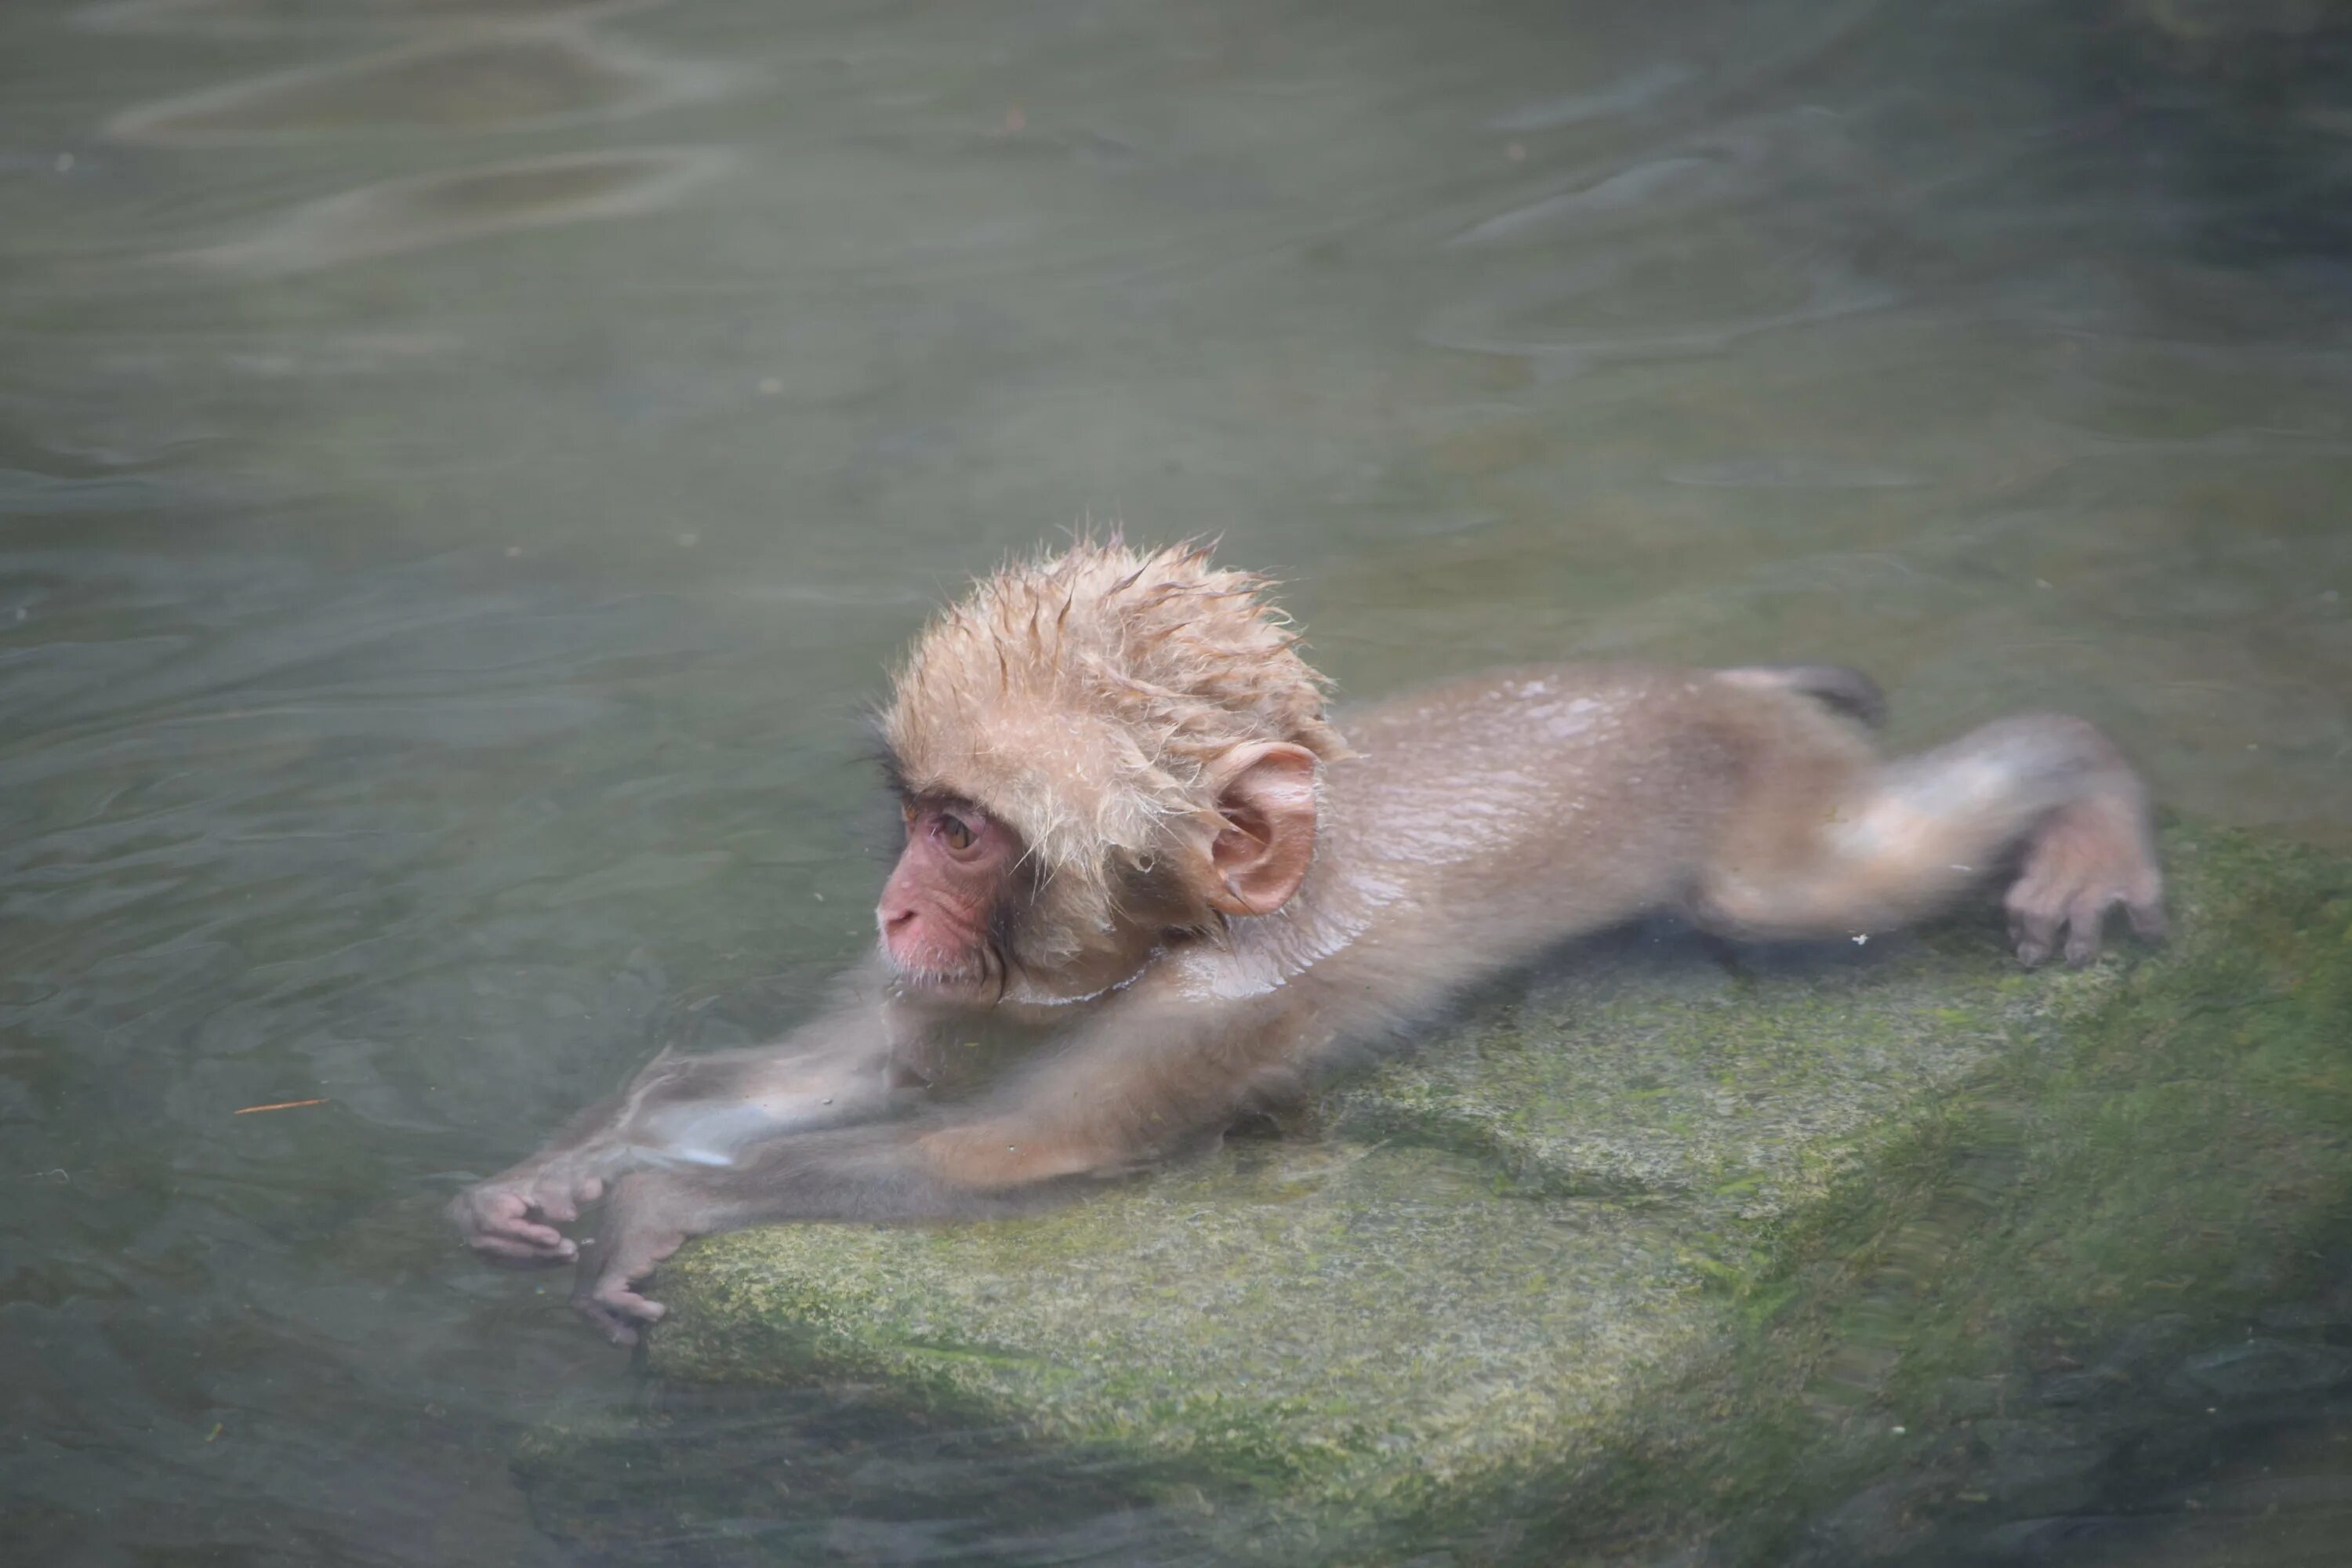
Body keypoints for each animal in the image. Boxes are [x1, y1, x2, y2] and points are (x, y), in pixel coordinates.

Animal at [445, 535, 2164, 1335]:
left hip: (1758, 811)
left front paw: (660, 1202)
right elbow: (803, 1084)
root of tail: (1726, 687)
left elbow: (995, 1160)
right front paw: (568, 1166)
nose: (896, 903)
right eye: (921, 813)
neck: (1131, 952)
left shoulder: (1201, 1009)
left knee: (1825, 882)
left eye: (968, 833)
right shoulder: (941, 993)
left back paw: (2085, 781)